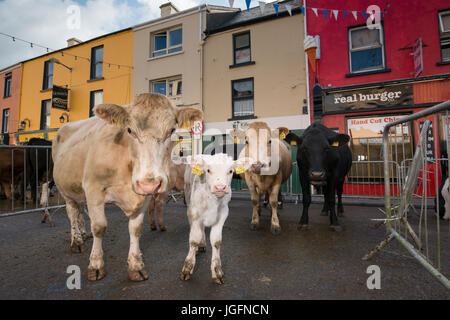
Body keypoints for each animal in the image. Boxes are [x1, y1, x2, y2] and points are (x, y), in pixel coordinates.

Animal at [51, 94, 201, 282]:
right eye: (129, 130)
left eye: (172, 131)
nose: (149, 183)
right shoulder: (94, 190)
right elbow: (99, 227)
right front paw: (96, 265)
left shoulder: (145, 196)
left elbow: (135, 229)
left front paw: (136, 266)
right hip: (66, 190)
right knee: (72, 212)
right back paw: (77, 240)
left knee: (79, 210)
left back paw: (83, 234)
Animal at [180, 154, 251, 284]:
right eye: (208, 170)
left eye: (230, 171)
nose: (220, 187)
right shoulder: (195, 213)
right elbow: (193, 240)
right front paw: (187, 269)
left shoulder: (223, 214)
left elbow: (216, 242)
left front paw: (217, 271)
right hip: (187, 196)